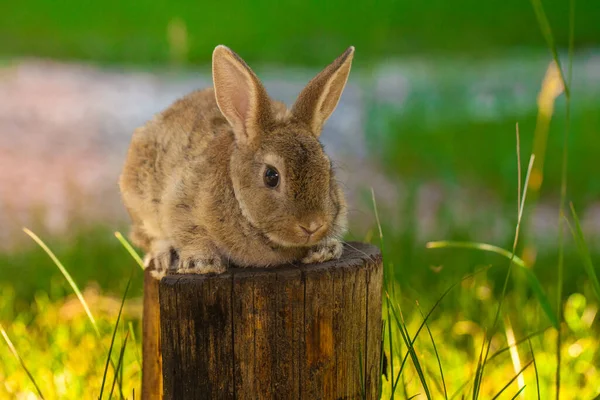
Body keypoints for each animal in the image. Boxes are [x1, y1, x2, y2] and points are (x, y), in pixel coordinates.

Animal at [119, 43, 354, 276]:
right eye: (271, 176)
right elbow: (190, 234)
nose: (313, 225)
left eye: (328, 170)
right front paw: (202, 263)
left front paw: (325, 250)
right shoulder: (179, 204)